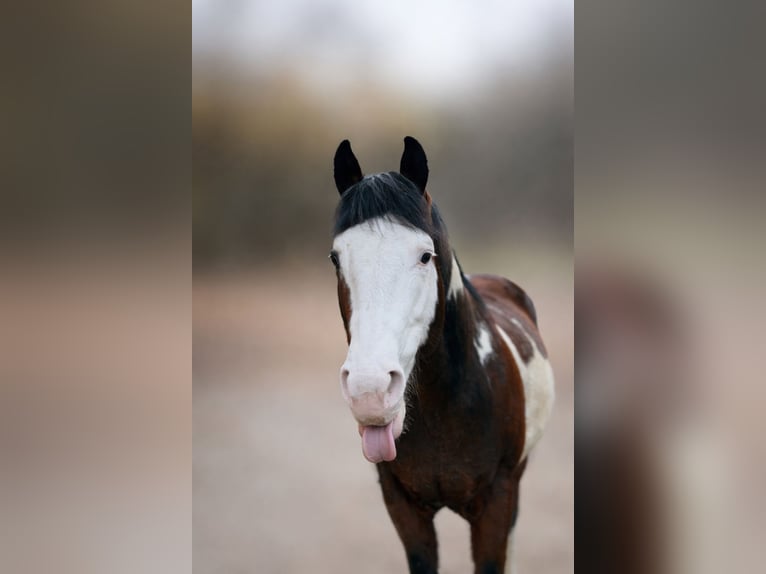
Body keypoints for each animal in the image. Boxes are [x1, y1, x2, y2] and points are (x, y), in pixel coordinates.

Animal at [329, 136, 555, 574]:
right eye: (336, 258)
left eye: (424, 255)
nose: (370, 392)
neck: (448, 405)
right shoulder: (403, 508)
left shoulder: (496, 504)